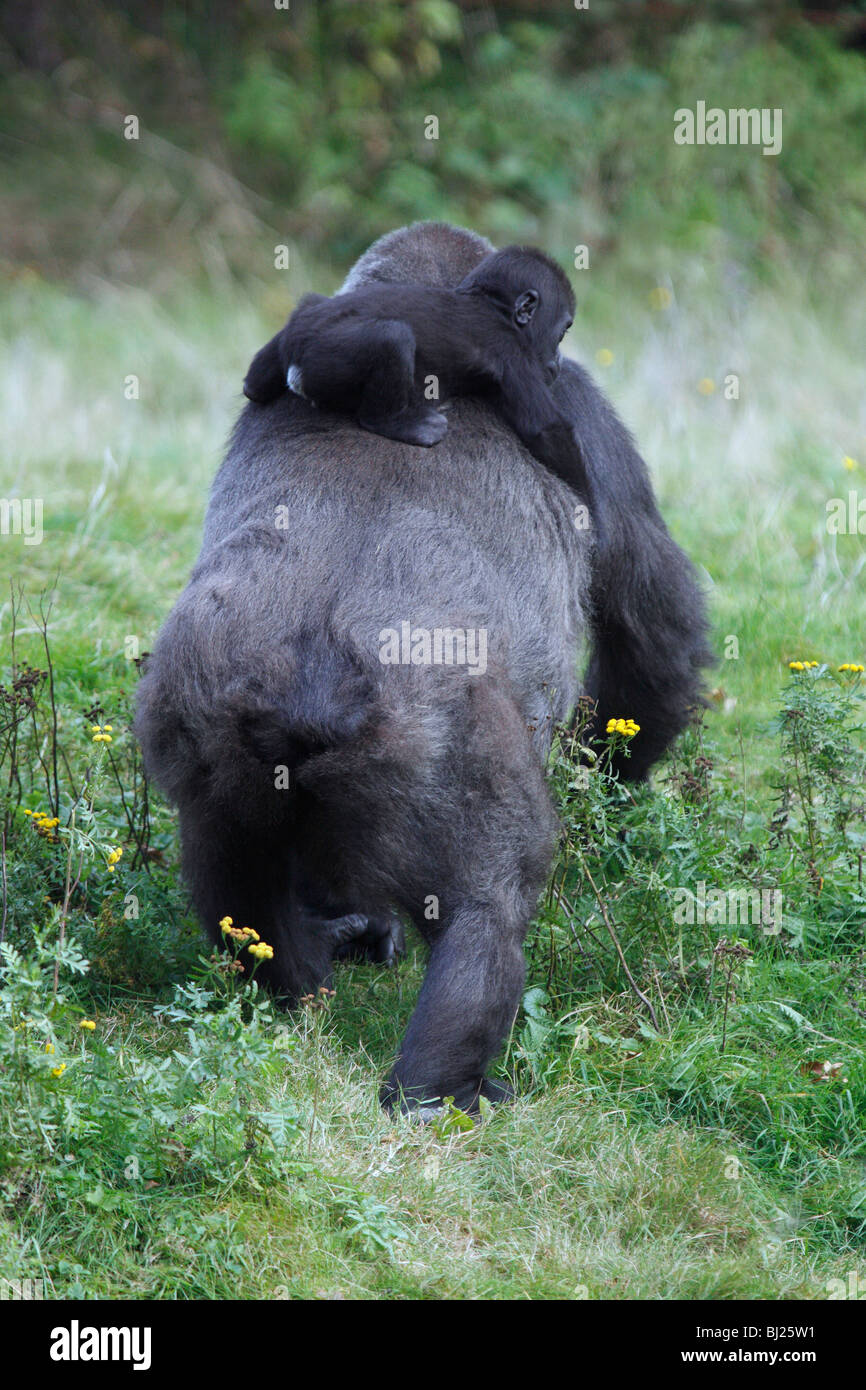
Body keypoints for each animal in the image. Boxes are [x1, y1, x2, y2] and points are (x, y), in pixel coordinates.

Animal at [244, 247, 594, 508]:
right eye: (562, 332)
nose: (558, 360)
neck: (491, 304)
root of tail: (294, 354)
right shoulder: (514, 353)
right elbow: (546, 429)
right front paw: (591, 515)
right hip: (323, 360)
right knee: (392, 338)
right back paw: (400, 423)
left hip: (302, 321)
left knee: (309, 304)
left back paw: (255, 383)